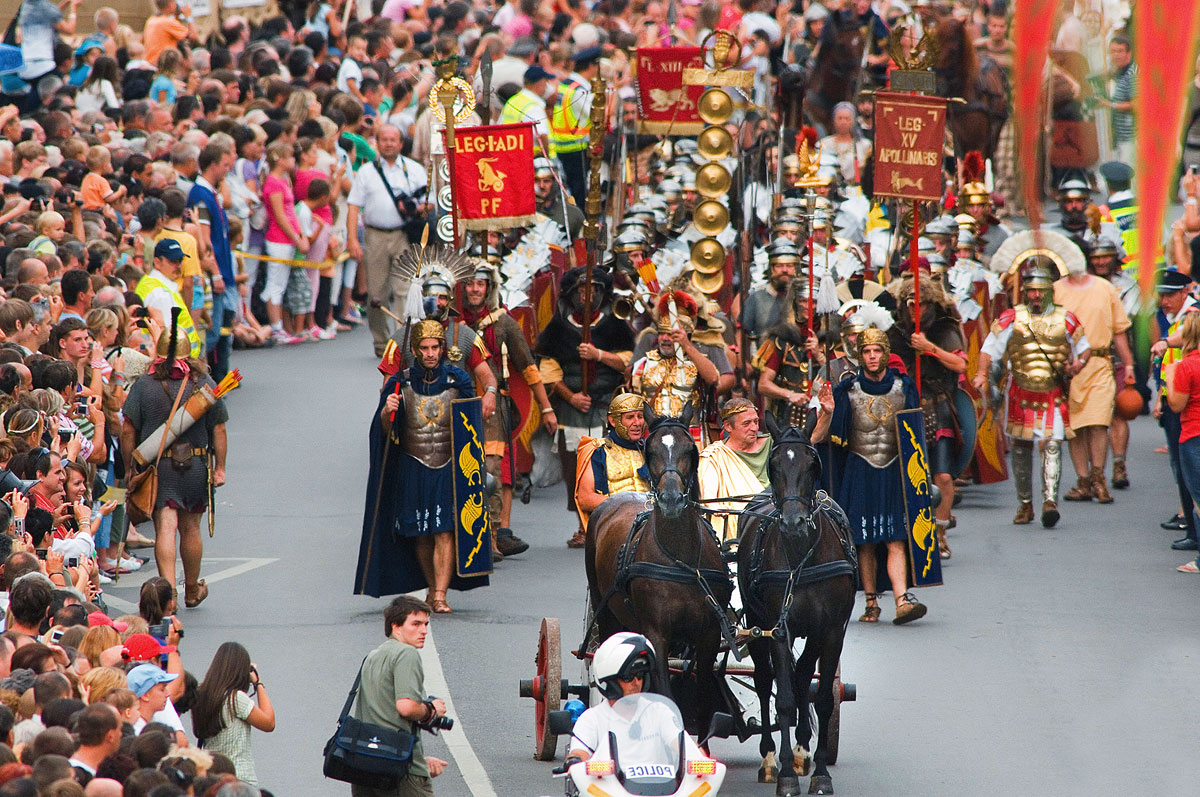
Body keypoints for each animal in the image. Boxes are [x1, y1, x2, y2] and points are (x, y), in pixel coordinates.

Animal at [583, 405, 729, 734]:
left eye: (690, 449)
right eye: (650, 451)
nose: (671, 499)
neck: (680, 560)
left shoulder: (709, 635)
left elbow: (703, 699)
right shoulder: (658, 634)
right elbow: (665, 696)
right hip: (606, 611)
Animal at [734, 412, 859, 792]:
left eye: (813, 463)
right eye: (773, 465)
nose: (793, 523)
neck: (801, 553)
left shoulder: (831, 630)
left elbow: (822, 696)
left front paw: (819, 771)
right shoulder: (778, 629)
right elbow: (785, 700)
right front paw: (786, 775)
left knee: (804, 676)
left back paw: (803, 751)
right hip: (756, 623)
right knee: (765, 681)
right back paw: (770, 758)